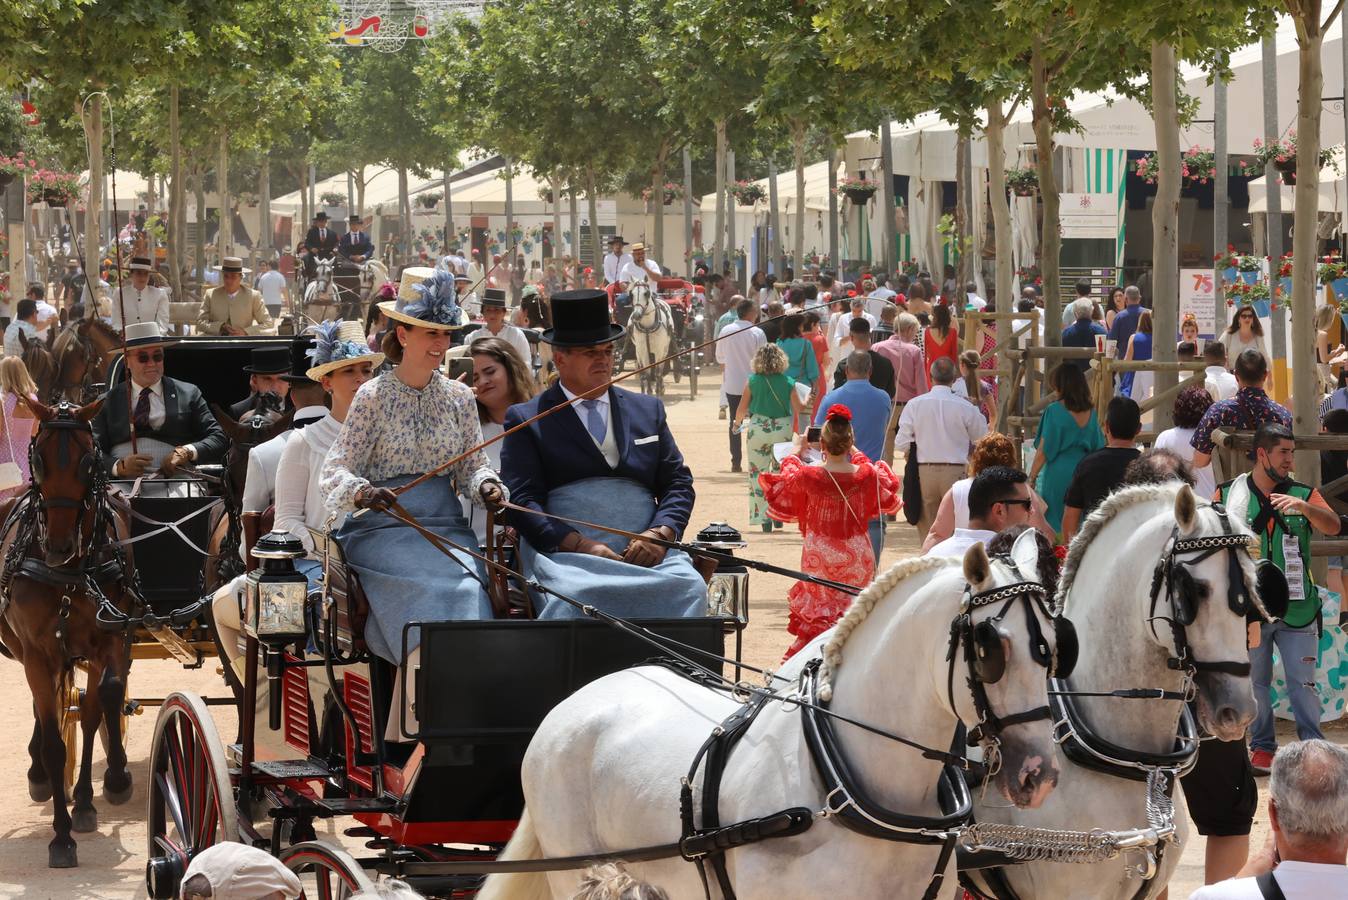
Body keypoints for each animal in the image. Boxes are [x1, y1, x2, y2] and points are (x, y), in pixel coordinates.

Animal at [0, 398, 134, 862]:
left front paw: (112, 782)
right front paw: (61, 836)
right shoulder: (38, 654)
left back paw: (91, 795)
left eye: (88, 460)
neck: (68, 574)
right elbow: (56, 741)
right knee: (48, 712)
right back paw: (39, 773)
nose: (59, 546)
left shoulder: (109, 637)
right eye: (37, 459)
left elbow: (103, 701)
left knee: (90, 710)